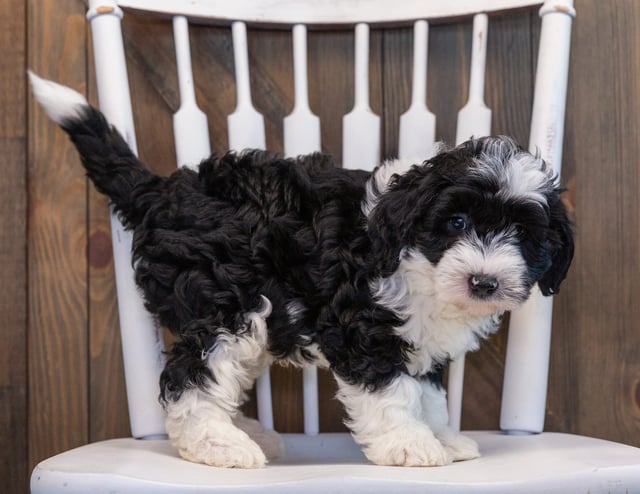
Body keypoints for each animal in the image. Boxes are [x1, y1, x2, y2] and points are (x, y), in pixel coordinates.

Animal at [30, 75, 572, 468]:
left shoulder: (423, 342)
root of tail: (162, 192)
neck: (417, 258)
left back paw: (243, 433)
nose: (484, 282)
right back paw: (219, 445)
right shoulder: (362, 325)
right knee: (191, 374)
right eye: (457, 223)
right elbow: (392, 390)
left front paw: (443, 437)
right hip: (230, 305)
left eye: (523, 235)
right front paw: (410, 445)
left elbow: (429, 393)